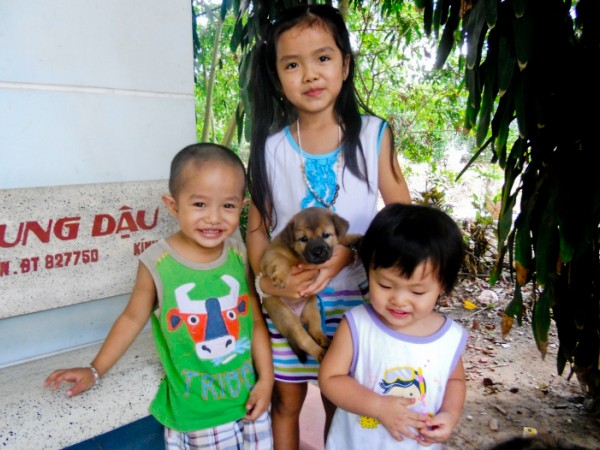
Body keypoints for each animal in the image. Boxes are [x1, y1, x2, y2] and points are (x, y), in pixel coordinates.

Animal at [258, 207, 360, 362]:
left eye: (326, 235)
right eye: (303, 239)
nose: (317, 252)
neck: (300, 257)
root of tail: (299, 316)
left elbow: (341, 238)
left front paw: (357, 237)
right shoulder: (271, 255)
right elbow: (281, 260)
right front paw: (281, 277)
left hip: (312, 309)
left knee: (314, 330)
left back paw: (324, 340)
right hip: (288, 319)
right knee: (304, 340)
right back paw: (320, 353)